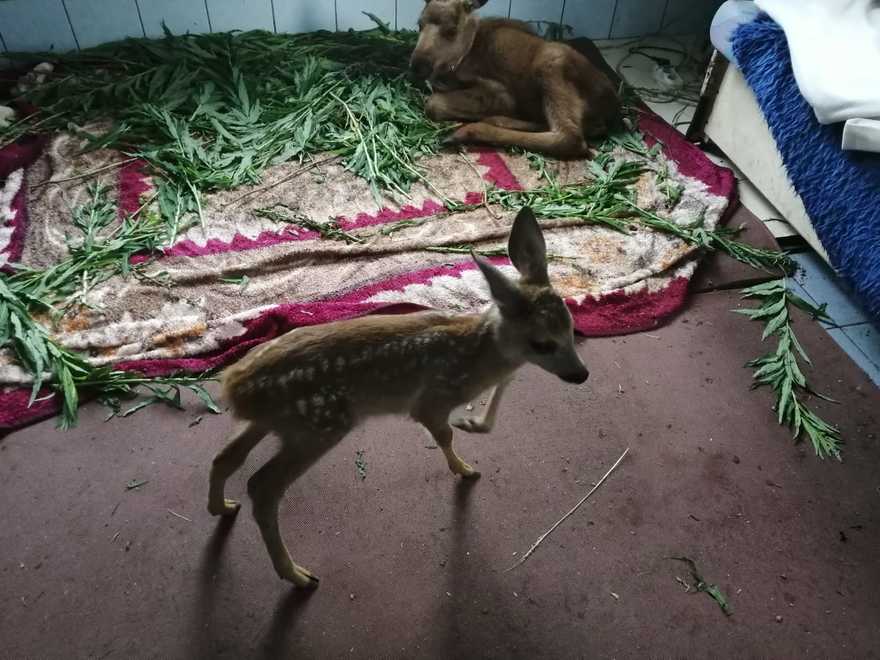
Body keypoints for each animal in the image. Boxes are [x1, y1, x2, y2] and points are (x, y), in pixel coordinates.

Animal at [209, 208, 588, 588]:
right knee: (262, 487)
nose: (581, 374)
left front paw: (472, 424)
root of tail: (235, 385)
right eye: (542, 343)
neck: (476, 354)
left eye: (571, 325)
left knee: (226, 458)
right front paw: (464, 467)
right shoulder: (430, 401)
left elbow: (494, 401)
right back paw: (297, 575)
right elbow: (445, 434)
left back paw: (222, 507)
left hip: (273, 423)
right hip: (318, 426)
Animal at [410, 0, 624, 157]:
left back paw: (468, 131)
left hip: (552, 65)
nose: (417, 66)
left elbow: (434, 104)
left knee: (570, 137)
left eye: (451, 30)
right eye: (419, 24)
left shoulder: (500, 93)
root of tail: (612, 108)